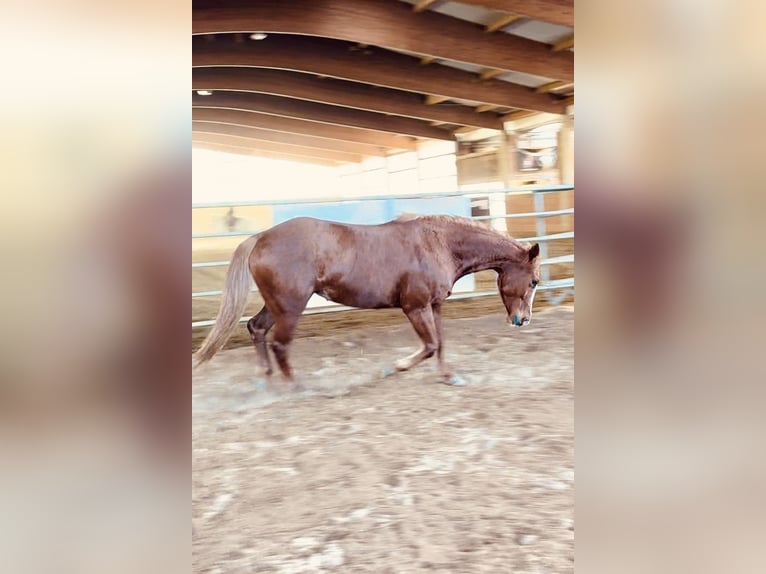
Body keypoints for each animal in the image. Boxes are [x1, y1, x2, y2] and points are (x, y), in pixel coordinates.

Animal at [194, 216, 540, 388]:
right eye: (535, 281)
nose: (522, 320)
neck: (439, 244)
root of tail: (260, 238)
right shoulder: (414, 306)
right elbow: (429, 346)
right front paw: (395, 367)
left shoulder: (435, 305)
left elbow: (440, 344)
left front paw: (448, 376)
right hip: (291, 307)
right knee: (279, 343)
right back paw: (297, 387)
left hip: (277, 305)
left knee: (256, 328)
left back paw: (265, 377)